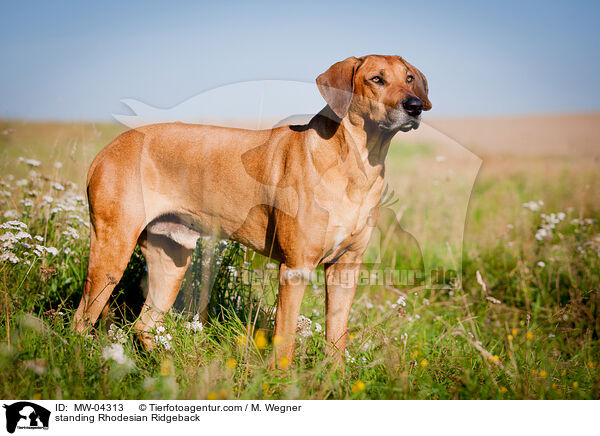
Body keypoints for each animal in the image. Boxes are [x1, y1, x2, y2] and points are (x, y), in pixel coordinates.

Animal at [74, 55, 432, 368]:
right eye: (376, 79)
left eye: (409, 78)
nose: (414, 105)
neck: (356, 163)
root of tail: (106, 151)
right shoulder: (295, 268)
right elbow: (285, 339)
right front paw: (281, 382)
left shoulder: (345, 269)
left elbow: (337, 339)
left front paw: (336, 383)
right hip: (112, 251)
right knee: (82, 319)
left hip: (172, 256)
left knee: (144, 325)